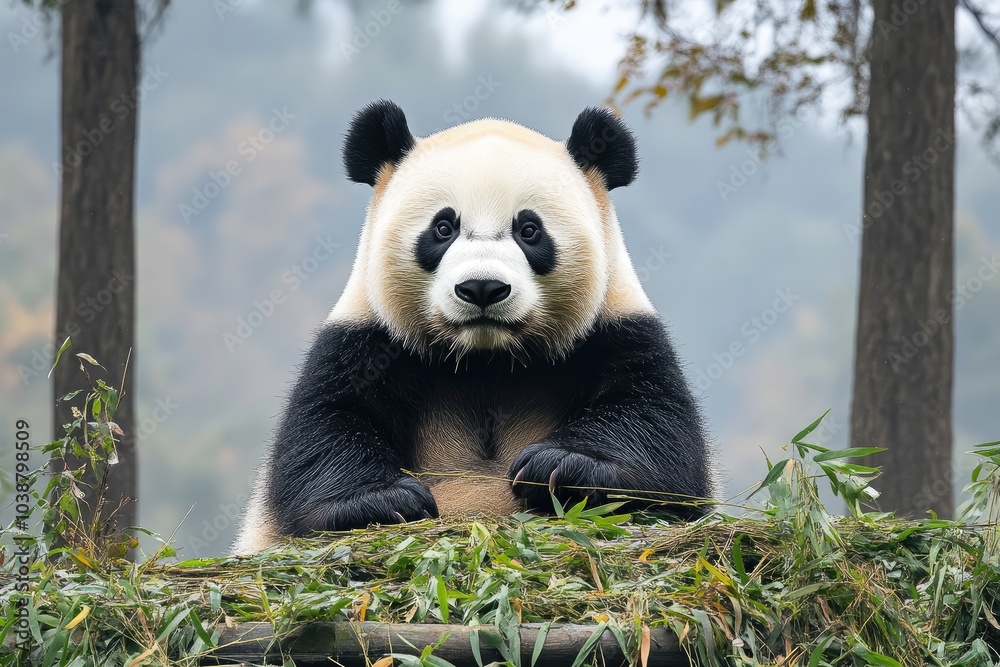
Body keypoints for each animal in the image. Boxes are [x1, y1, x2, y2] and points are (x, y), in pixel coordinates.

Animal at [233, 100, 715, 554]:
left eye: (529, 230)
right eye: (443, 227)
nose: (482, 287)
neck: (487, 359)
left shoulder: (617, 331)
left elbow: (656, 432)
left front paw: (557, 466)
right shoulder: (365, 340)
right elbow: (324, 431)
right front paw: (386, 500)